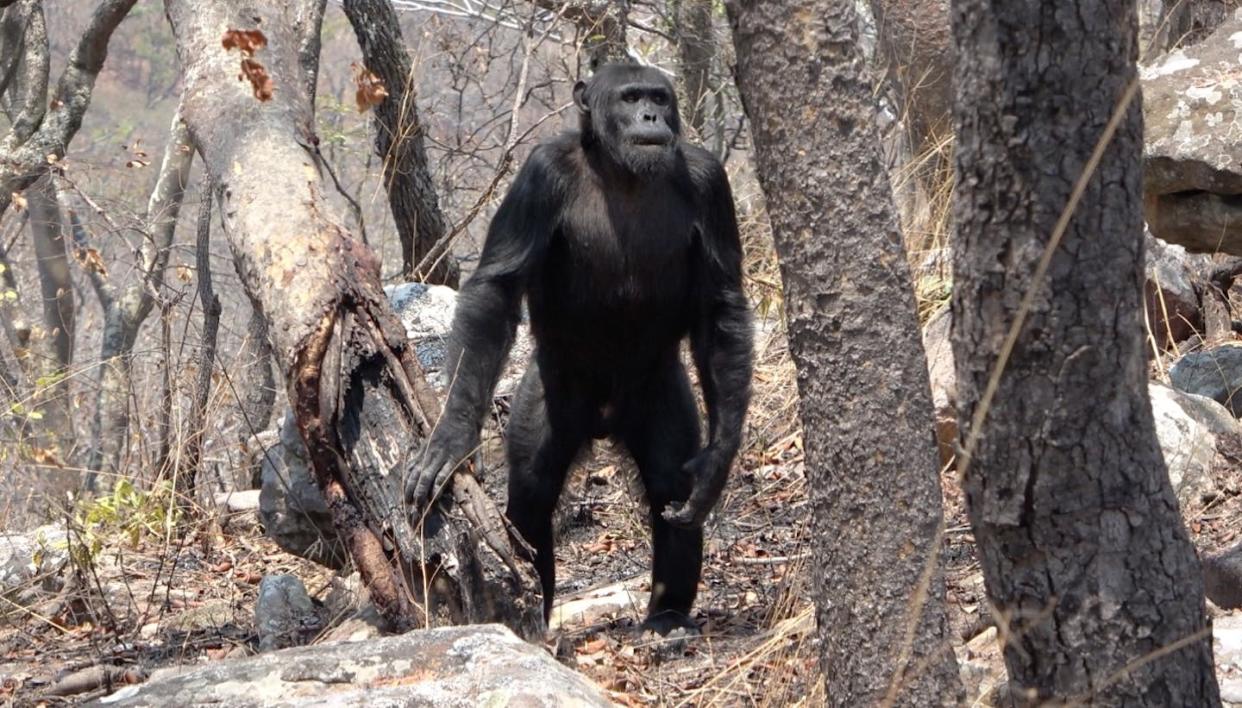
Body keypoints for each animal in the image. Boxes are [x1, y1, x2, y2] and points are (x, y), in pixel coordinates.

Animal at [412, 62, 750, 633]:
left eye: (659, 96)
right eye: (630, 97)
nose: (651, 116)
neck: (622, 172)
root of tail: (604, 421)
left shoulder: (711, 183)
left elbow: (720, 308)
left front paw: (718, 461)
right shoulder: (538, 175)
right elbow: (497, 289)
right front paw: (452, 438)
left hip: (659, 395)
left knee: (668, 486)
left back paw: (667, 618)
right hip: (552, 393)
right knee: (532, 494)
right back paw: (538, 612)